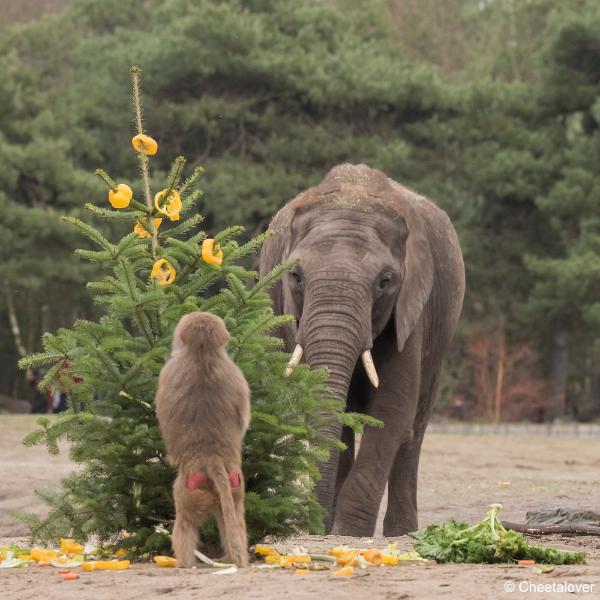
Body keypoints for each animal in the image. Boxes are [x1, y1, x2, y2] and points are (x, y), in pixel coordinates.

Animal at [258, 163, 464, 536]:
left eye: (385, 282)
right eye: (295, 276)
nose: (314, 524)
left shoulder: (412, 307)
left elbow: (392, 408)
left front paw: (349, 532)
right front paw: (331, 530)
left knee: (415, 428)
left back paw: (401, 532)